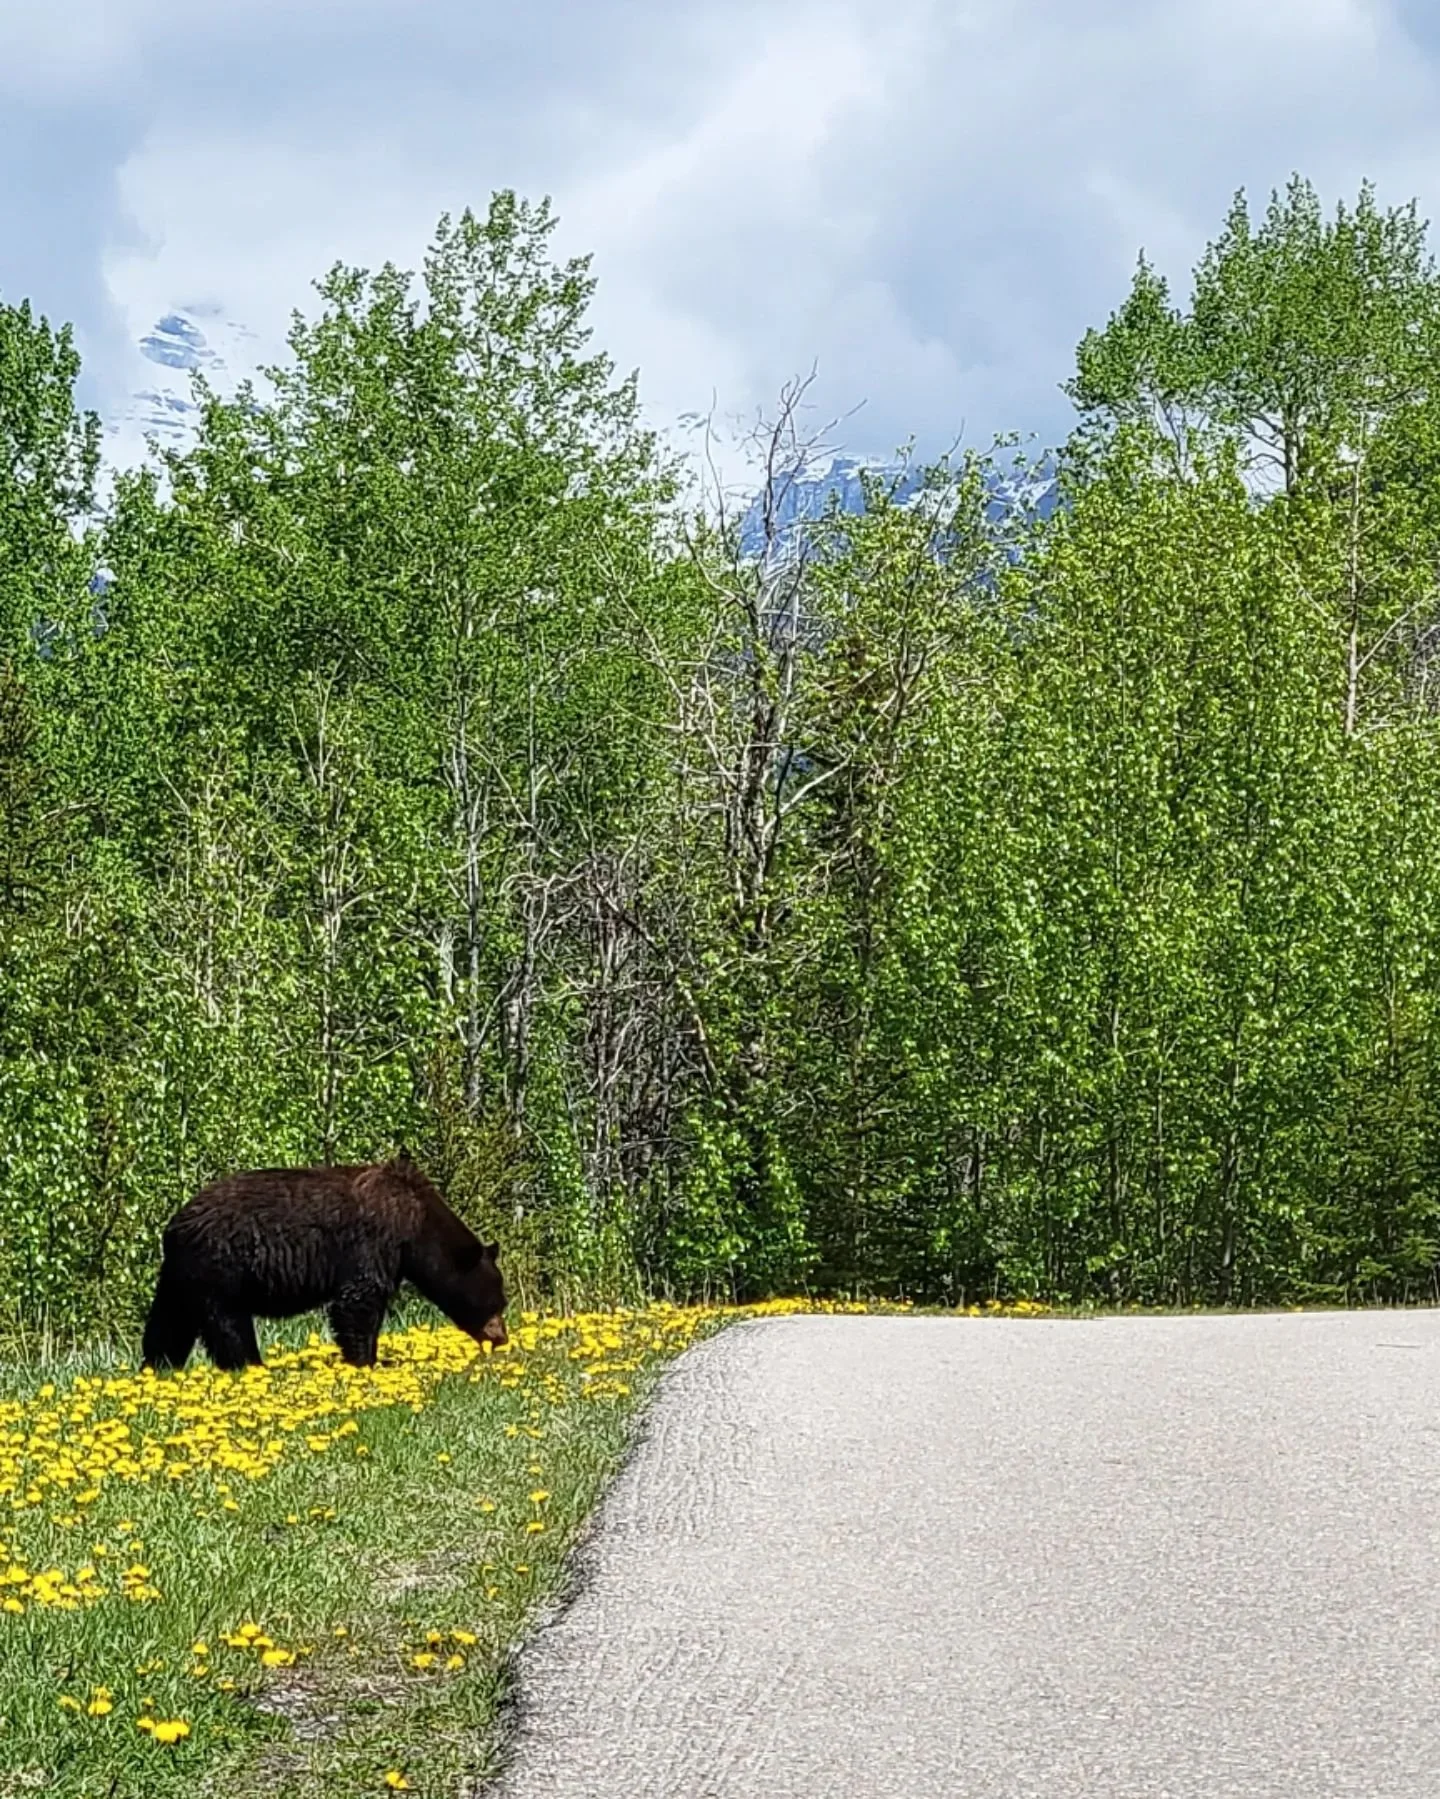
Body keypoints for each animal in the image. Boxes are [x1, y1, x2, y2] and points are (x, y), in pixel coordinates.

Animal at [141, 1153, 507, 1371]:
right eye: (498, 1301)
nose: (501, 1338)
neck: (416, 1227)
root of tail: (173, 1227)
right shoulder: (373, 1243)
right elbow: (358, 1300)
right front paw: (365, 1361)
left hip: (181, 1278)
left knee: (169, 1324)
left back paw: (158, 1368)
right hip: (220, 1272)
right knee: (228, 1326)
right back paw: (252, 1366)